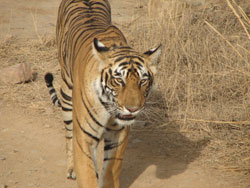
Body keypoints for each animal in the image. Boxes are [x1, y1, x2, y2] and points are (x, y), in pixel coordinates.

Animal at [44, 0, 162, 188]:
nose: (133, 109)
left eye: (143, 81)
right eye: (118, 80)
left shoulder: (118, 136)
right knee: (69, 134)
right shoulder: (84, 138)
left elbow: (109, 173)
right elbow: (87, 175)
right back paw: (71, 169)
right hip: (67, 93)